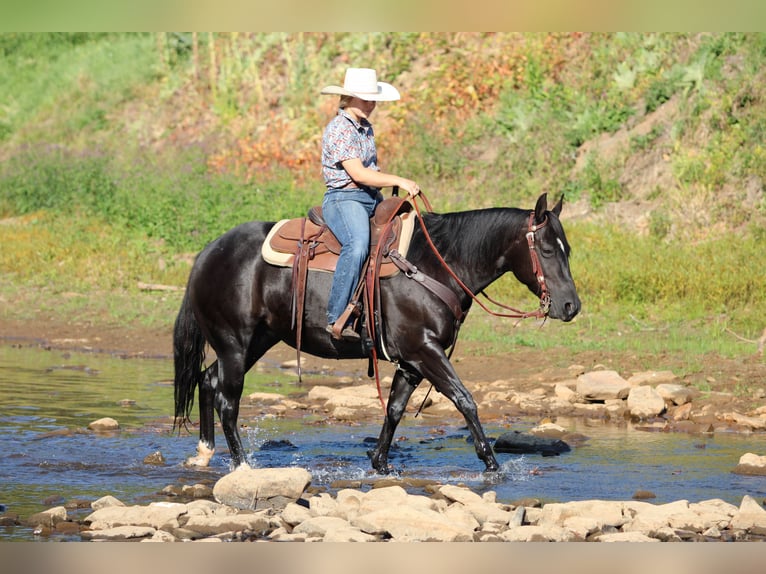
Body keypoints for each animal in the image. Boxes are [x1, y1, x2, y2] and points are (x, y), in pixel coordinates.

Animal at [173, 192, 580, 472]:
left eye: (568, 250)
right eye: (546, 250)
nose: (570, 306)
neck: (435, 265)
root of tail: (208, 252)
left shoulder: (412, 361)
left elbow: (395, 409)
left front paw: (379, 463)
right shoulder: (425, 350)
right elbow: (465, 400)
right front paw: (492, 464)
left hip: (256, 341)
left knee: (207, 380)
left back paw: (204, 453)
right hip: (234, 343)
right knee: (228, 401)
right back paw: (242, 465)